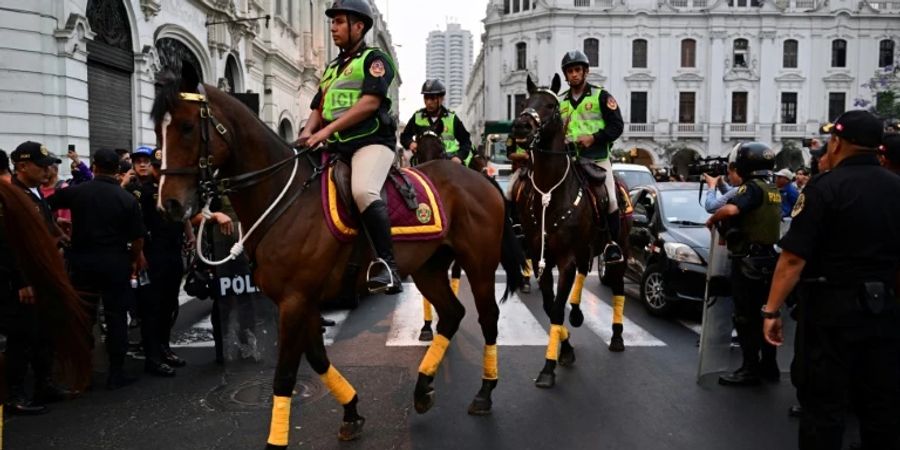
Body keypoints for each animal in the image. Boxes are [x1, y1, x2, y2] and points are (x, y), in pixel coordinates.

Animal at [151, 72, 524, 448]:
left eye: (186, 127)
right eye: (157, 129)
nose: (168, 204)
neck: (286, 199)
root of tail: (481, 179)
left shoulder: (294, 300)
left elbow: (284, 376)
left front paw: (277, 440)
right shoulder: (303, 300)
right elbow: (317, 359)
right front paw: (352, 412)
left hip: (479, 264)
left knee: (487, 318)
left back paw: (484, 392)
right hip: (428, 268)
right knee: (452, 314)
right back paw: (422, 388)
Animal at [510, 74, 616, 386]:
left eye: (550, 106)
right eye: (524, 101)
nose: (521, 126)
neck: (550, 191)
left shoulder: (566, 259)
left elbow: (557, 307)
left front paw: (549, 366)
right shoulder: (540, 257)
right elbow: (550, 307)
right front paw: (564, 348)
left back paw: (617, 337)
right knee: (583, 273)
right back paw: (579, 313)